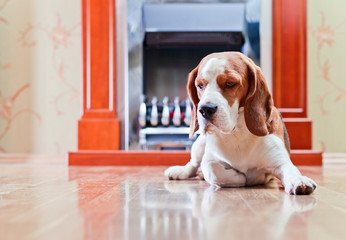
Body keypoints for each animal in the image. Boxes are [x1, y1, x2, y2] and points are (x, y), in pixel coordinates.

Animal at [165, 51, 316, 194]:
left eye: (230, 83)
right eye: (200, 85)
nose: (205, 109)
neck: (238, 132)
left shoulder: (280, 161)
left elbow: (291, 170)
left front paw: (299, 180)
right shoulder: (210, 159)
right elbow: (214, 170)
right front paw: (239, 177)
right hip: (200, 143)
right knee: (193, 164)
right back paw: (180, 171)